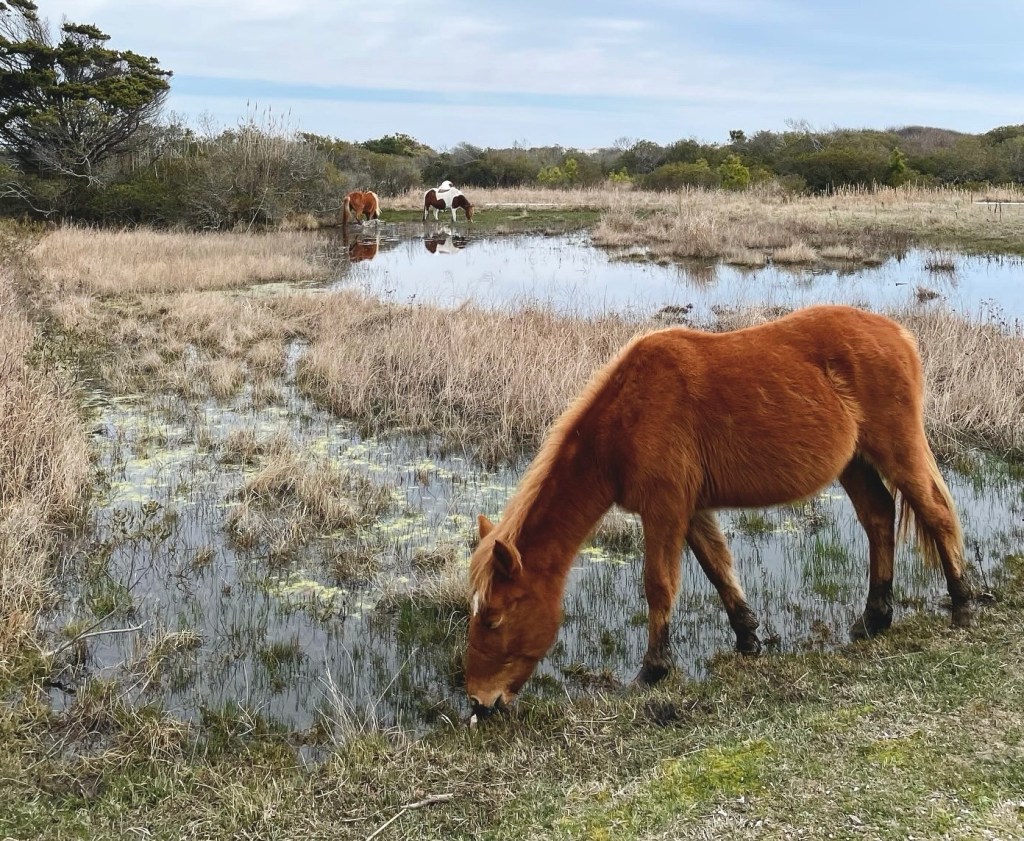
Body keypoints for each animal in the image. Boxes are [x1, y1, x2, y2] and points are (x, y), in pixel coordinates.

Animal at [465, 305, 974, 716]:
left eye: (493, 618)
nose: (480, 703)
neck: (628, 416)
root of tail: (898, 333)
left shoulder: (665, 509)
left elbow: (658, 585)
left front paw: (652, 671)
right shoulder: (691, 511)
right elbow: (718, 569)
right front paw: (748, 637)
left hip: (896, 449)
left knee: (935, 511)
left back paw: (963, 605)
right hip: (855, 463)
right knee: (879, 518)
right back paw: (874, 618)